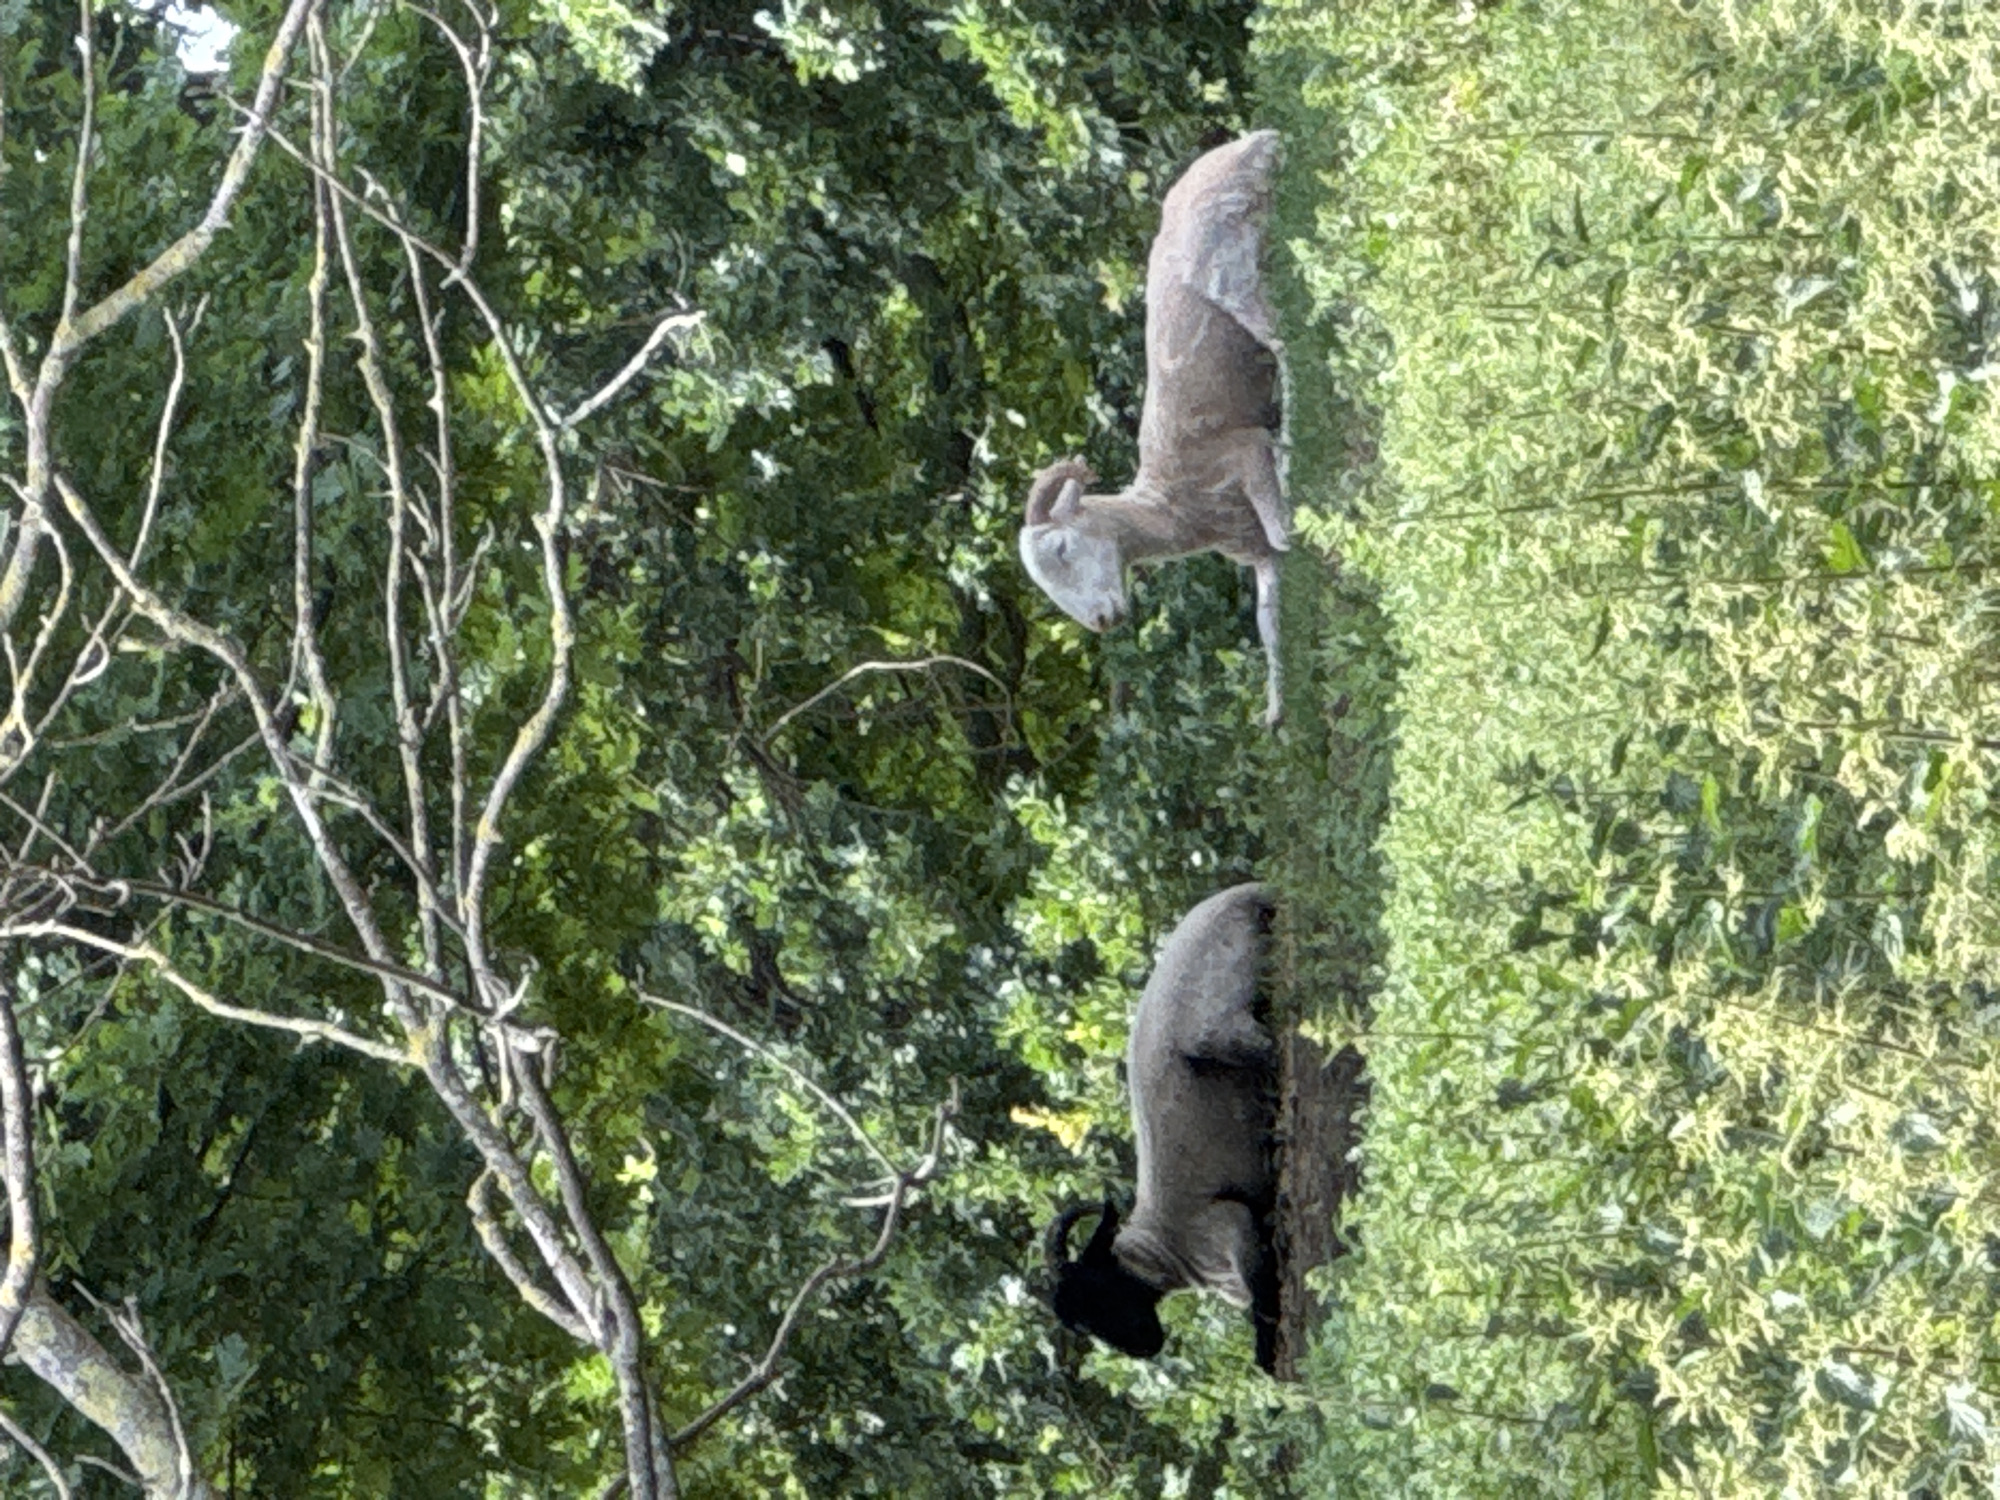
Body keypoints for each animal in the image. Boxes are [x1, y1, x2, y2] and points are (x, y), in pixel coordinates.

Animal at [1019, 130, 1291, 725]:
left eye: (1062, 550)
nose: (1102, 620)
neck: (1176, 507)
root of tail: (1250, 145)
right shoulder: (1256, 554)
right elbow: (1270, 624)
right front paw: (1276, 712)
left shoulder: (1245, 453)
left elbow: (1284, 523)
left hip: (1236, 276)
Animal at [1045, 881, 1281, 1372]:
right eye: (1078, 1324)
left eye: (1094, 1287)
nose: (1145, 1348)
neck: (1165, 1246)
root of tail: (1247, 893)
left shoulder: (1229, 1225)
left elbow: (1263, 1304)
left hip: (1219, 1021)